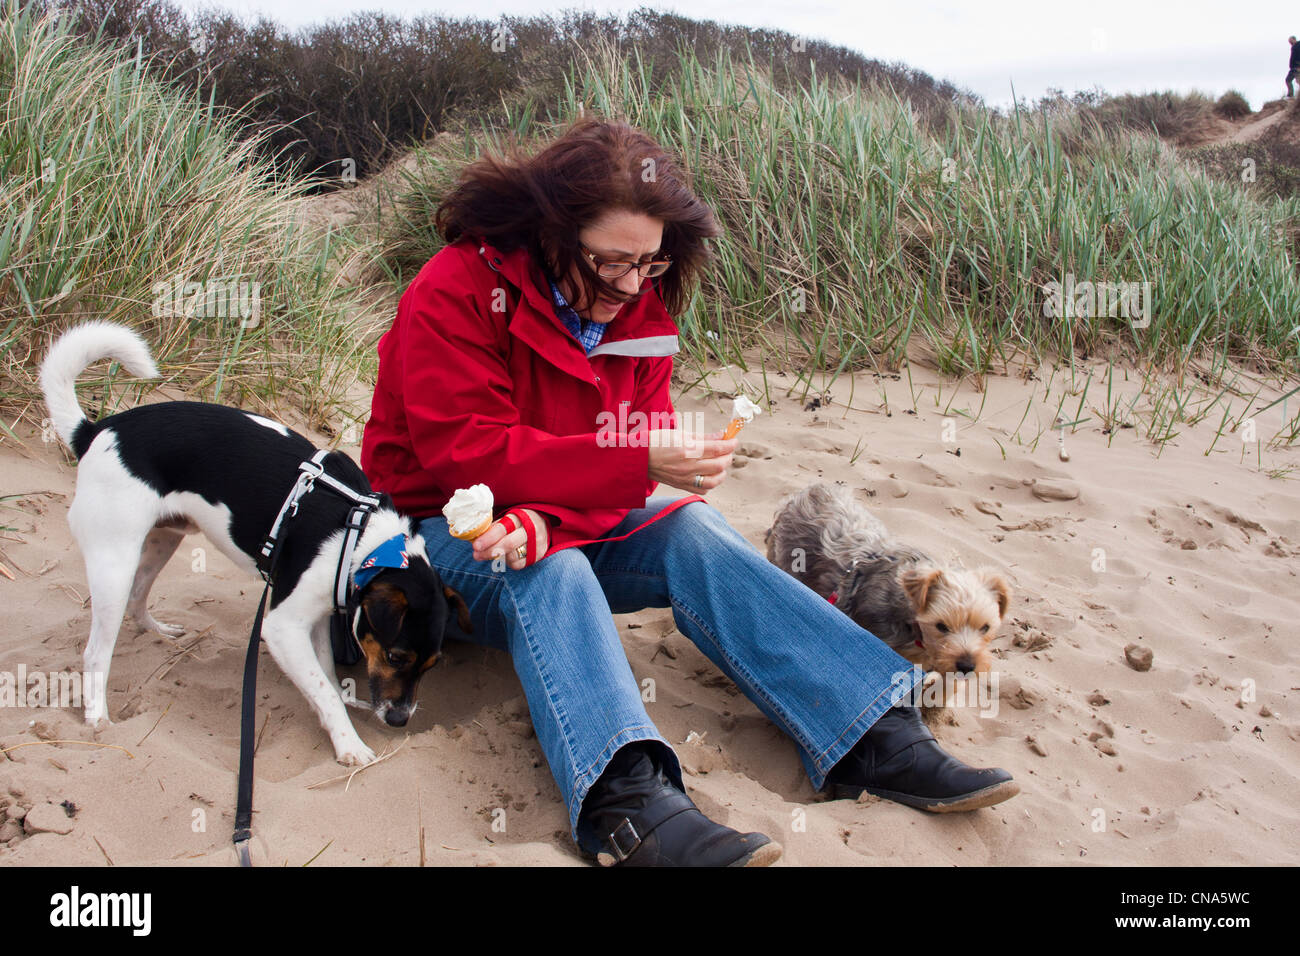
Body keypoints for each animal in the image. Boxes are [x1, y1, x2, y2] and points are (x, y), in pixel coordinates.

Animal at [38, 325, 470, 764]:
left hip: (161, 541)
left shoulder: (316, 616)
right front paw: (349, 743)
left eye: (431, 665)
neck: (365, 541)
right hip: (114, 558)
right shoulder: (282, 627)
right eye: (397, 656)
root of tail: (94, 431)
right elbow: (324, 689)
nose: (399, 720)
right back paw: (97, 717)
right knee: (96, 650)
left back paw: (157, 630)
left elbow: (327, 678)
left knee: (138, 594)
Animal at [764, 481, 1008, 723]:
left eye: (985, 627)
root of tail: (807, 492)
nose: (967, 666)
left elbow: (946, 684)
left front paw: (935, 708)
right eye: (941, 626)